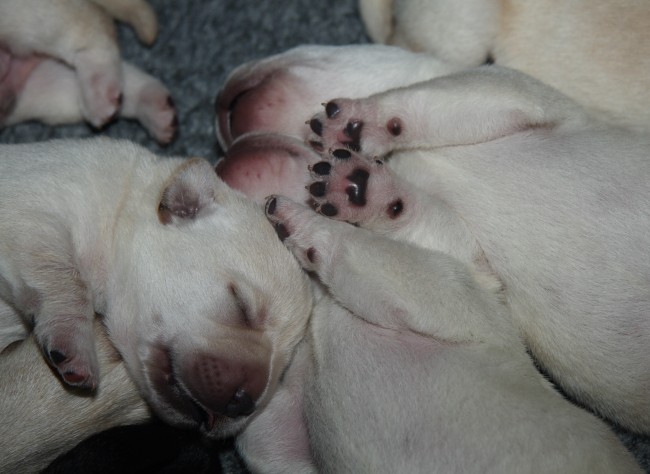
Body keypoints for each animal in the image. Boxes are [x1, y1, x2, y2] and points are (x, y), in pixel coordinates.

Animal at [0, 137, 314, 440]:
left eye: (284, 368)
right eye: (241, 306)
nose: (245, 403)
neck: (118, 210)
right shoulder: (31, 204)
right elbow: (57, 269)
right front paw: (73, 341)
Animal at [215, 46, 648, 436]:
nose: (221, 159)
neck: (415, 160)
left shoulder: (514, 94)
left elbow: (426, 98)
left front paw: (358, 125)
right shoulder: (469, 260)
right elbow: (420, 217)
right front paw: (368, 194)